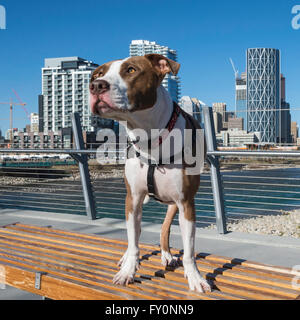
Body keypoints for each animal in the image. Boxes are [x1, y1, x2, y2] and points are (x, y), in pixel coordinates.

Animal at [89, 54, 211, 292]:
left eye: (131, 69)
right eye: (100, 73)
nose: (96, 85)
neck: (149, 138)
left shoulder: (186, 202)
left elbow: (189, 250)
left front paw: (195, 277)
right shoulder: (133, 199)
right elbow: (134, 241)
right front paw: (128, 270)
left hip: (174, 204)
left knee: (165, 229)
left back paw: (167, 255)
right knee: (133, 236)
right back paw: (127, 257)